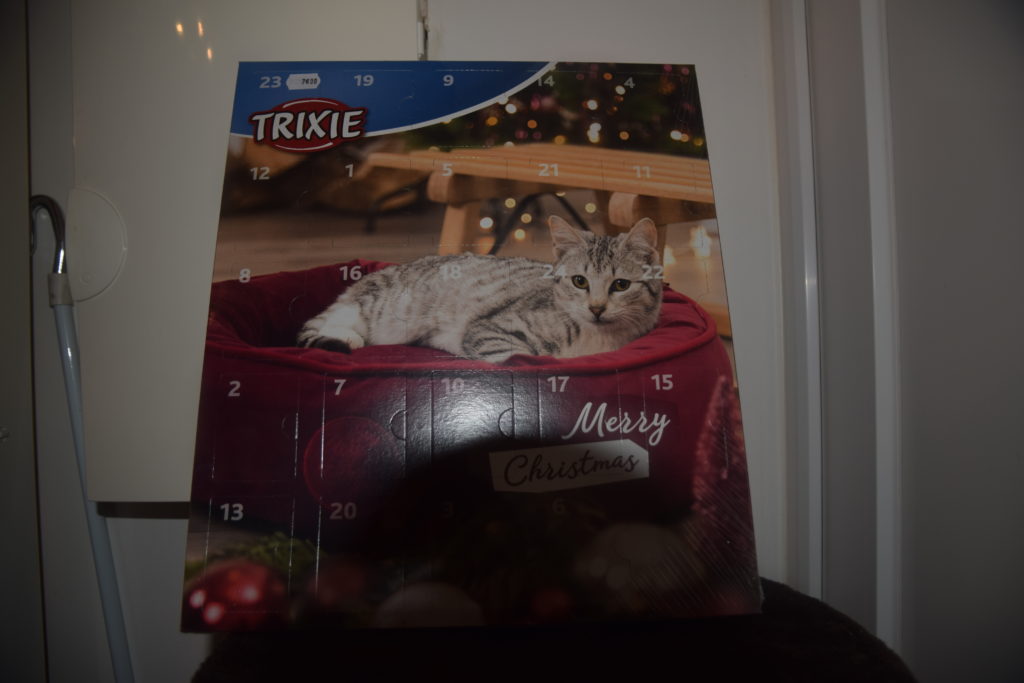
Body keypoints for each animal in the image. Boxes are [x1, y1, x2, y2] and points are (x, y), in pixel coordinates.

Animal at [297, 216, 663, 363]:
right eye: (580, 281)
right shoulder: (491, 329)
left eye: (620, 285)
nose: (597, 309)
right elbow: (515, 356)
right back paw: (345, 337)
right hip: (385, 310)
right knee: (334, 318)